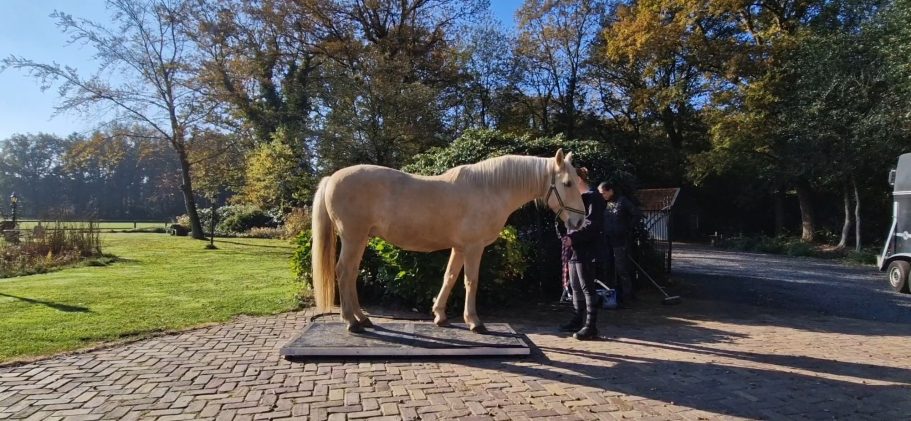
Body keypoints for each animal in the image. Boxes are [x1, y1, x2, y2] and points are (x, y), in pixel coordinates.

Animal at [311, 149, 587, 333]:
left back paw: (362, 318)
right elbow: (471, 281)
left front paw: (440, 316)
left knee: (351, 274)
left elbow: (450, 277)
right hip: (353, 238)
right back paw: (351, 321)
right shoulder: (474, 247)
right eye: (567, 183)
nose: (580, 221)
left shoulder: (459, 248)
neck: (489, 189)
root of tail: (332, 178)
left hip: (360, 240)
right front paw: (474, 321)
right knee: (344, 272)